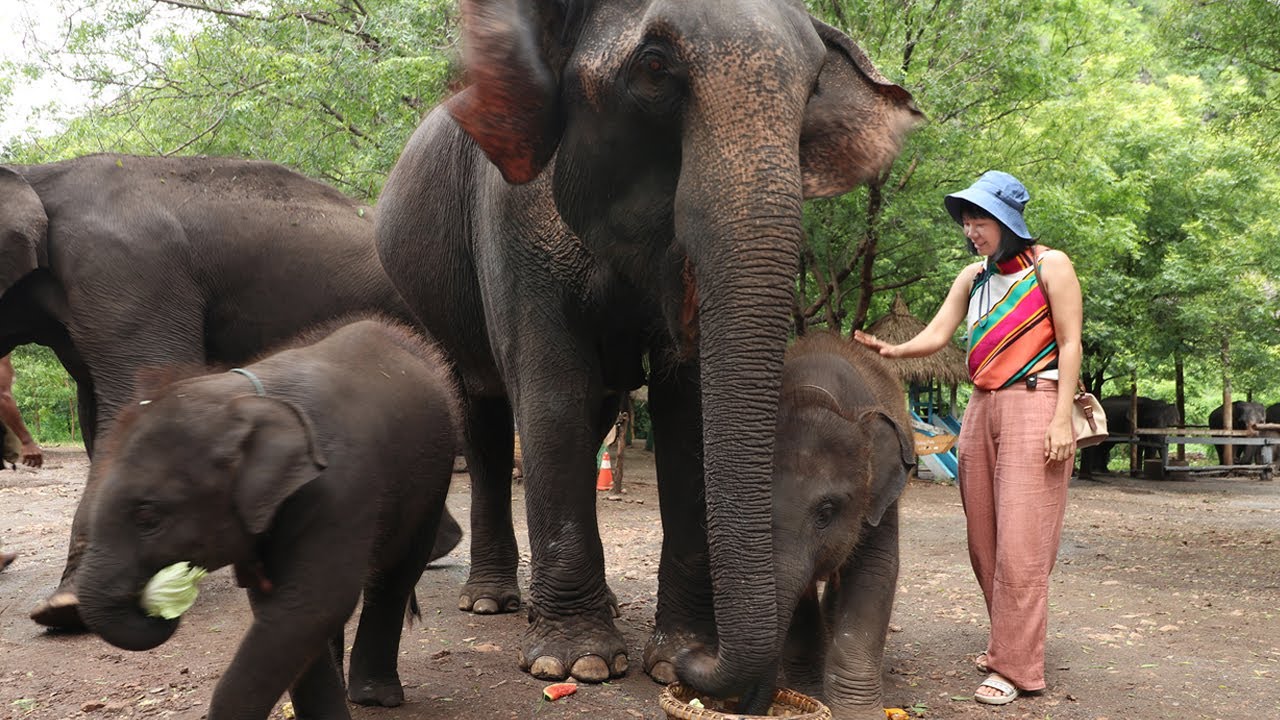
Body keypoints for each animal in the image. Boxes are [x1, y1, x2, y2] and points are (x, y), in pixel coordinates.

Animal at [77, 318, 460, 720]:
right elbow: (283, 606)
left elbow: (310, 605)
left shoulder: (342, 486)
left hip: (433, 480)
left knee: (396, 575)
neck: (249, 401)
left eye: (147, 515)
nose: (158, 605)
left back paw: (376, 696)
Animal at [770, 332, 913, 720]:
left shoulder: (880, 497)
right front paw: (808, 691)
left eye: (826, 513)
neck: (816, 392)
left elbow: (875, 570)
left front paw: (856, 712)